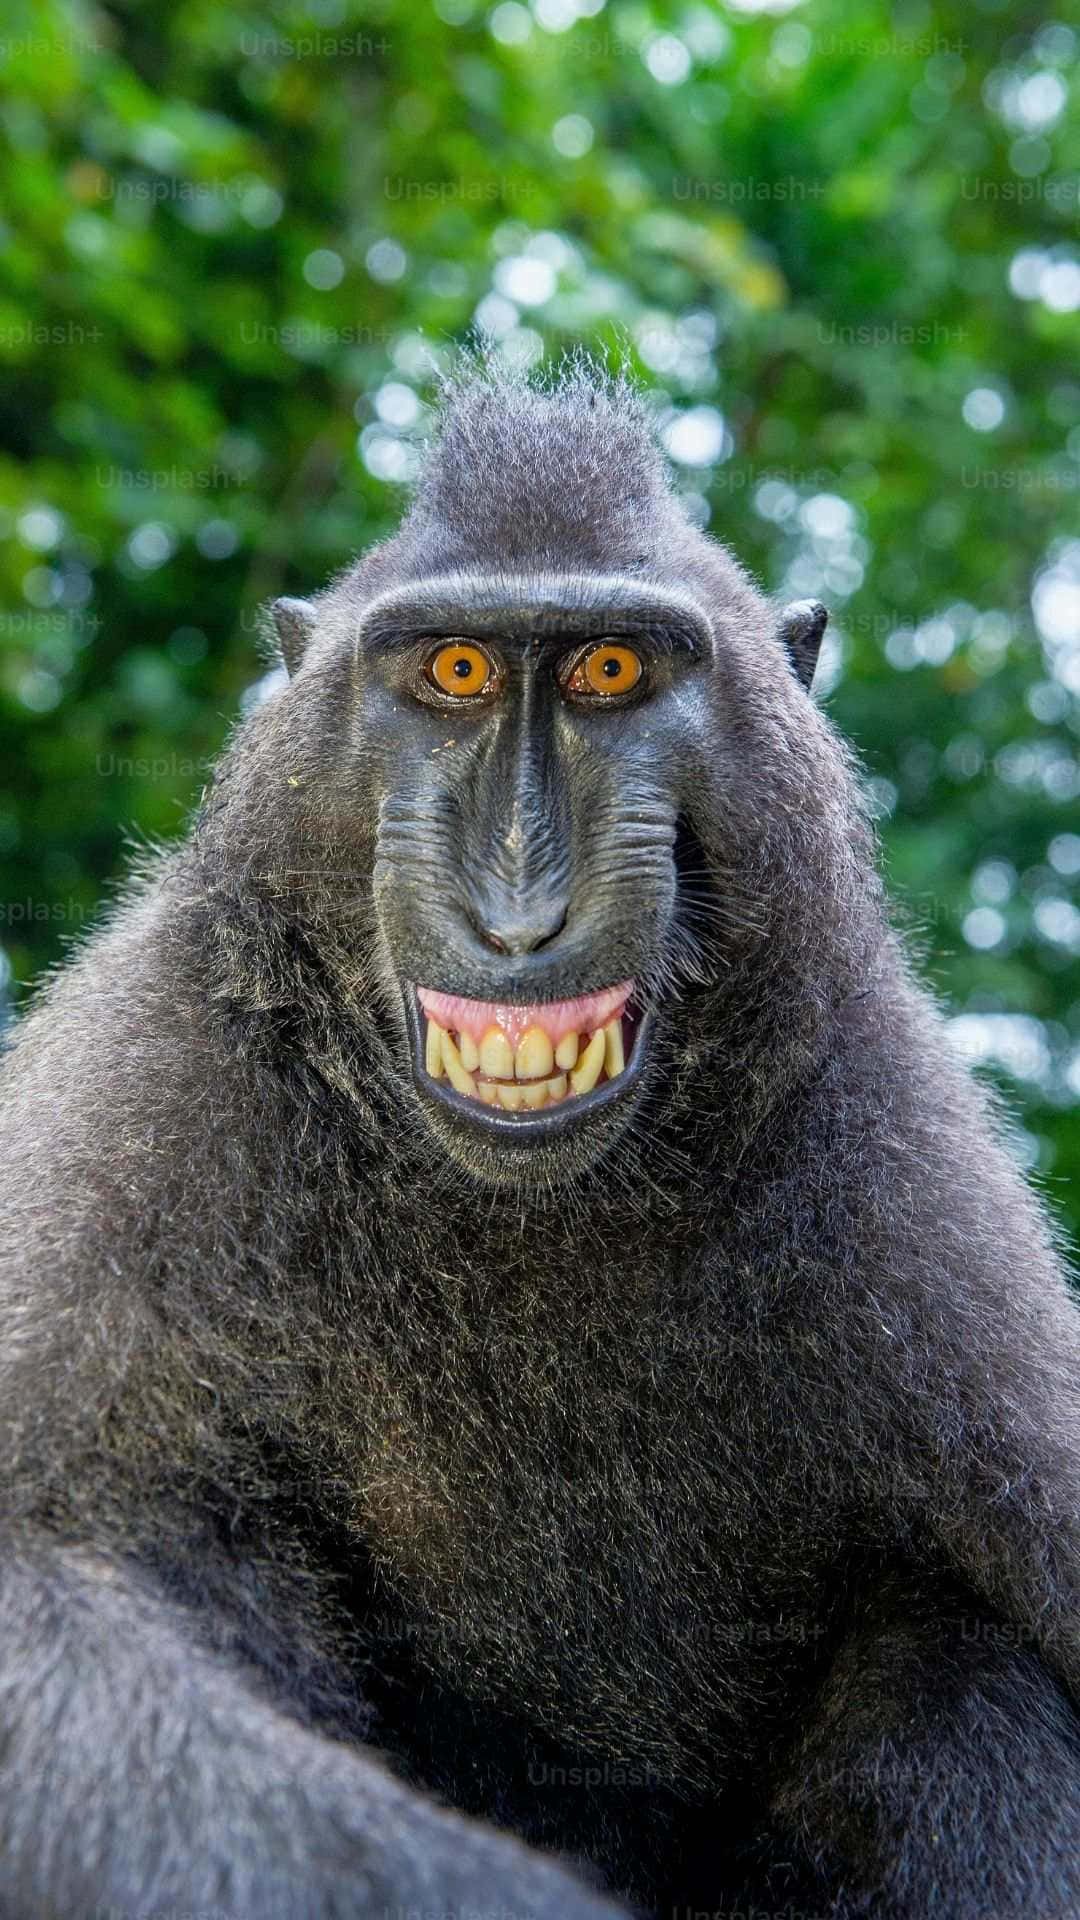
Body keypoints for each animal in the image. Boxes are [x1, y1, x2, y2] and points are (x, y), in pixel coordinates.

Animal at [1, 356, 1078, 1920]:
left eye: (610, 673)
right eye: (454, 672)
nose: (521, 908)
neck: (527, 1207)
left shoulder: (893, 1155)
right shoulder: (148, 1088)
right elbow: (42, 1594)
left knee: (959, 1655)